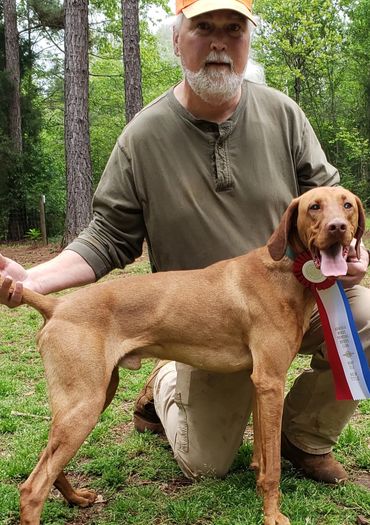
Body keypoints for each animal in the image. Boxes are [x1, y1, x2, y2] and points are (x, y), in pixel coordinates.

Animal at [5, 186, 364, 520]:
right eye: (314, 206)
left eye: (347, 204)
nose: (337, 227)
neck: (286, 270)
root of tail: (57, 305)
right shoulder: (271, 380)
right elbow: (273, 466)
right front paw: (273, 515)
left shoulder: (262, 383)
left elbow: (264, 455)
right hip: (83, 404)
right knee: (32, 488)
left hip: (92, 397)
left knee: (48, 461)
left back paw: (76, 497)